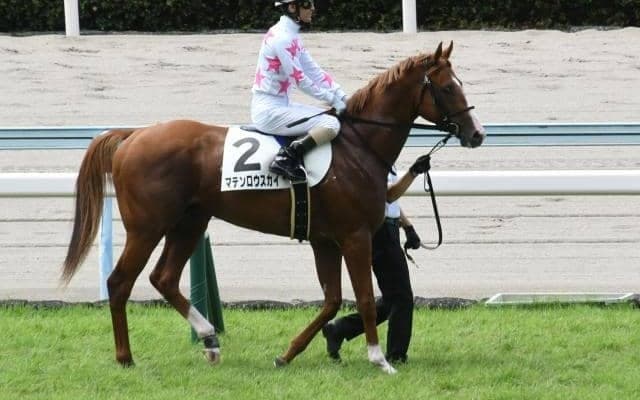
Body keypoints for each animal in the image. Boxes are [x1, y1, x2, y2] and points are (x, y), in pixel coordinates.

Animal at [62, 41, 484, 374]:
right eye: (448, 87)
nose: (477, 133)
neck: (358, 145)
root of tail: (133, 136)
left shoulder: (325, 240)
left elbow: (331, 300)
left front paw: (288, 354)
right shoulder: (355, 236)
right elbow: (363, 298)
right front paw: (379, 359)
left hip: (190, 222)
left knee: (163, 278)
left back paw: (210, 340)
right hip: (148, 226)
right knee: (120, 282)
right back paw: (125, 356)